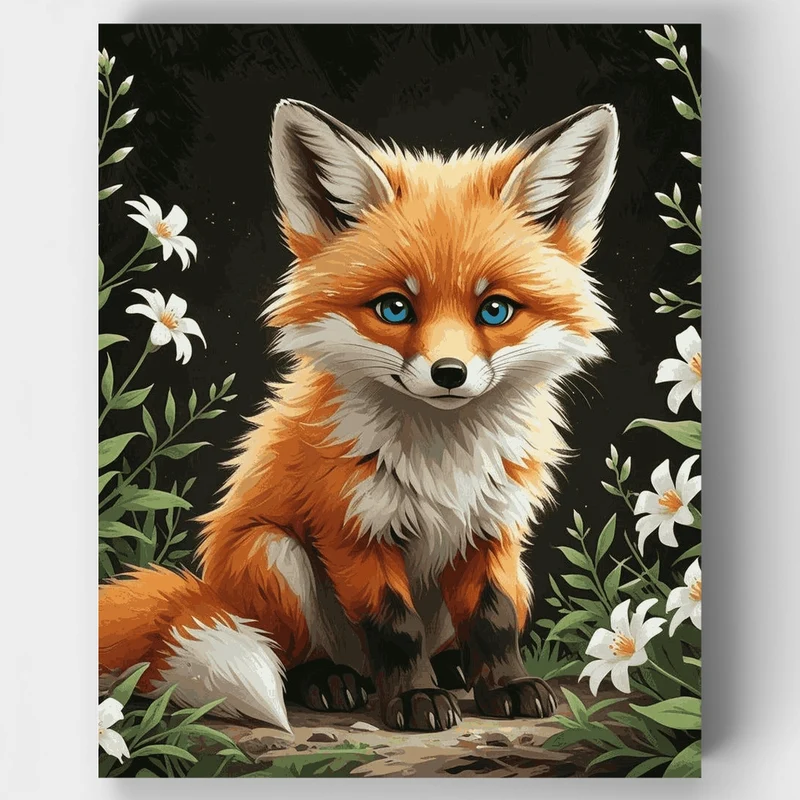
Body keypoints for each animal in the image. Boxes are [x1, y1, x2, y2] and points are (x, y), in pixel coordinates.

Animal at [99, 99, 618, 733]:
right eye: (394, 308)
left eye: (495, 310)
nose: (449, 373)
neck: (442, 462)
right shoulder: (353, 525)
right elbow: (395, 628)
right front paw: (415, 701)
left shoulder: (493, 527)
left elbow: (494, 621)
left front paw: (508, 687)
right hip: (272, 554)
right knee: (296, 656)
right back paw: (331, 681)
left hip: (518, 573)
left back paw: (451, 667)